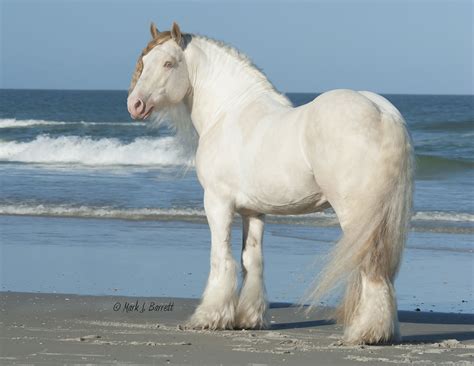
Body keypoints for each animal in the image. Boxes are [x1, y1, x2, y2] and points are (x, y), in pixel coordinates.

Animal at [128, 22, 412, 344]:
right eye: (144, 61)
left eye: (168, 63)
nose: (135, 104)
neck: (229, 111)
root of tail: (383, 113)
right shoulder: (253, 211)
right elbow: (251, 261)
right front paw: (248, 319)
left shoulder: (217, 202)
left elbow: (221, 259)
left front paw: (208, 318)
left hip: (357, 214)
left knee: (371, 265)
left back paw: (365, 332)